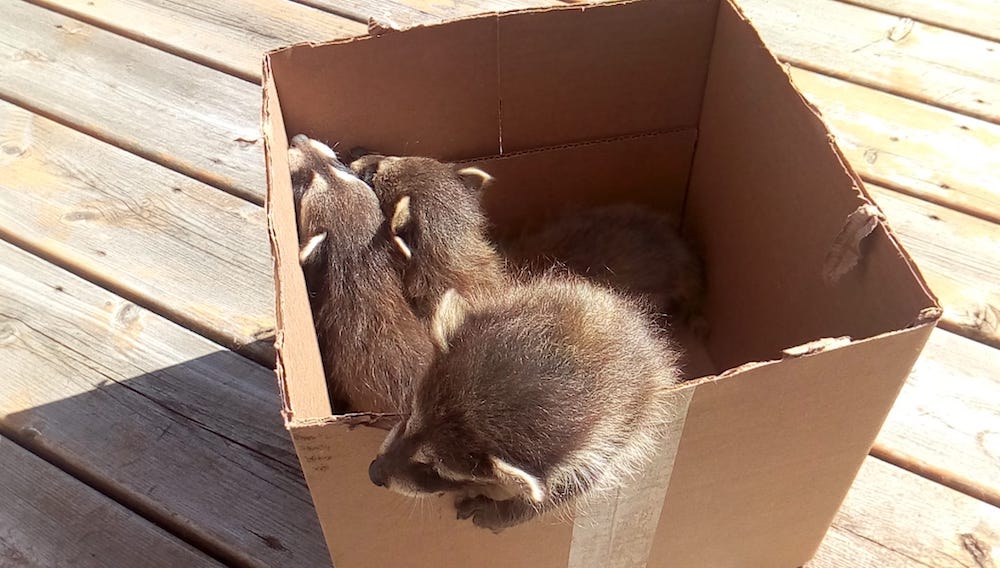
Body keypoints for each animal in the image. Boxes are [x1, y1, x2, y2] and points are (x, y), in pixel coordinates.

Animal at [366, 276, 680, 532]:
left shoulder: (605, 439)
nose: (374, 473)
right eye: (410, 418)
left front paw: (508, 510)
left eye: (435, 470)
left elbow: (564, 491)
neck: (566, 369)